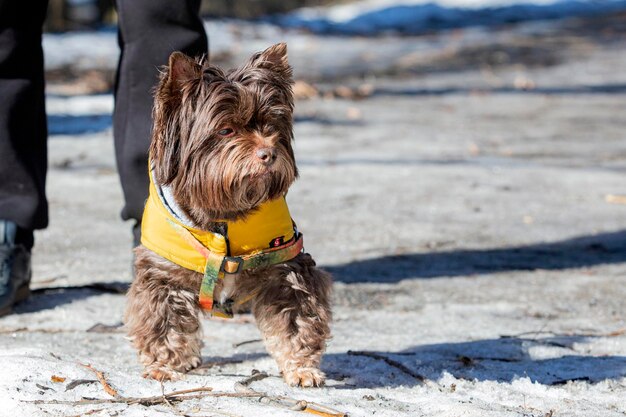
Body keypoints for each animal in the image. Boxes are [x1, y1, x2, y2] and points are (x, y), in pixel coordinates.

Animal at [124, 43, 334, 386]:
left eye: (270, 125)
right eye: (225, 130)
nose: (268, 153)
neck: (224, 214)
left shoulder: (286, 266)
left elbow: (296, 321)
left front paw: (302, 367)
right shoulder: (162, 274)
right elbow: (163, 322)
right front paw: (164, 365)